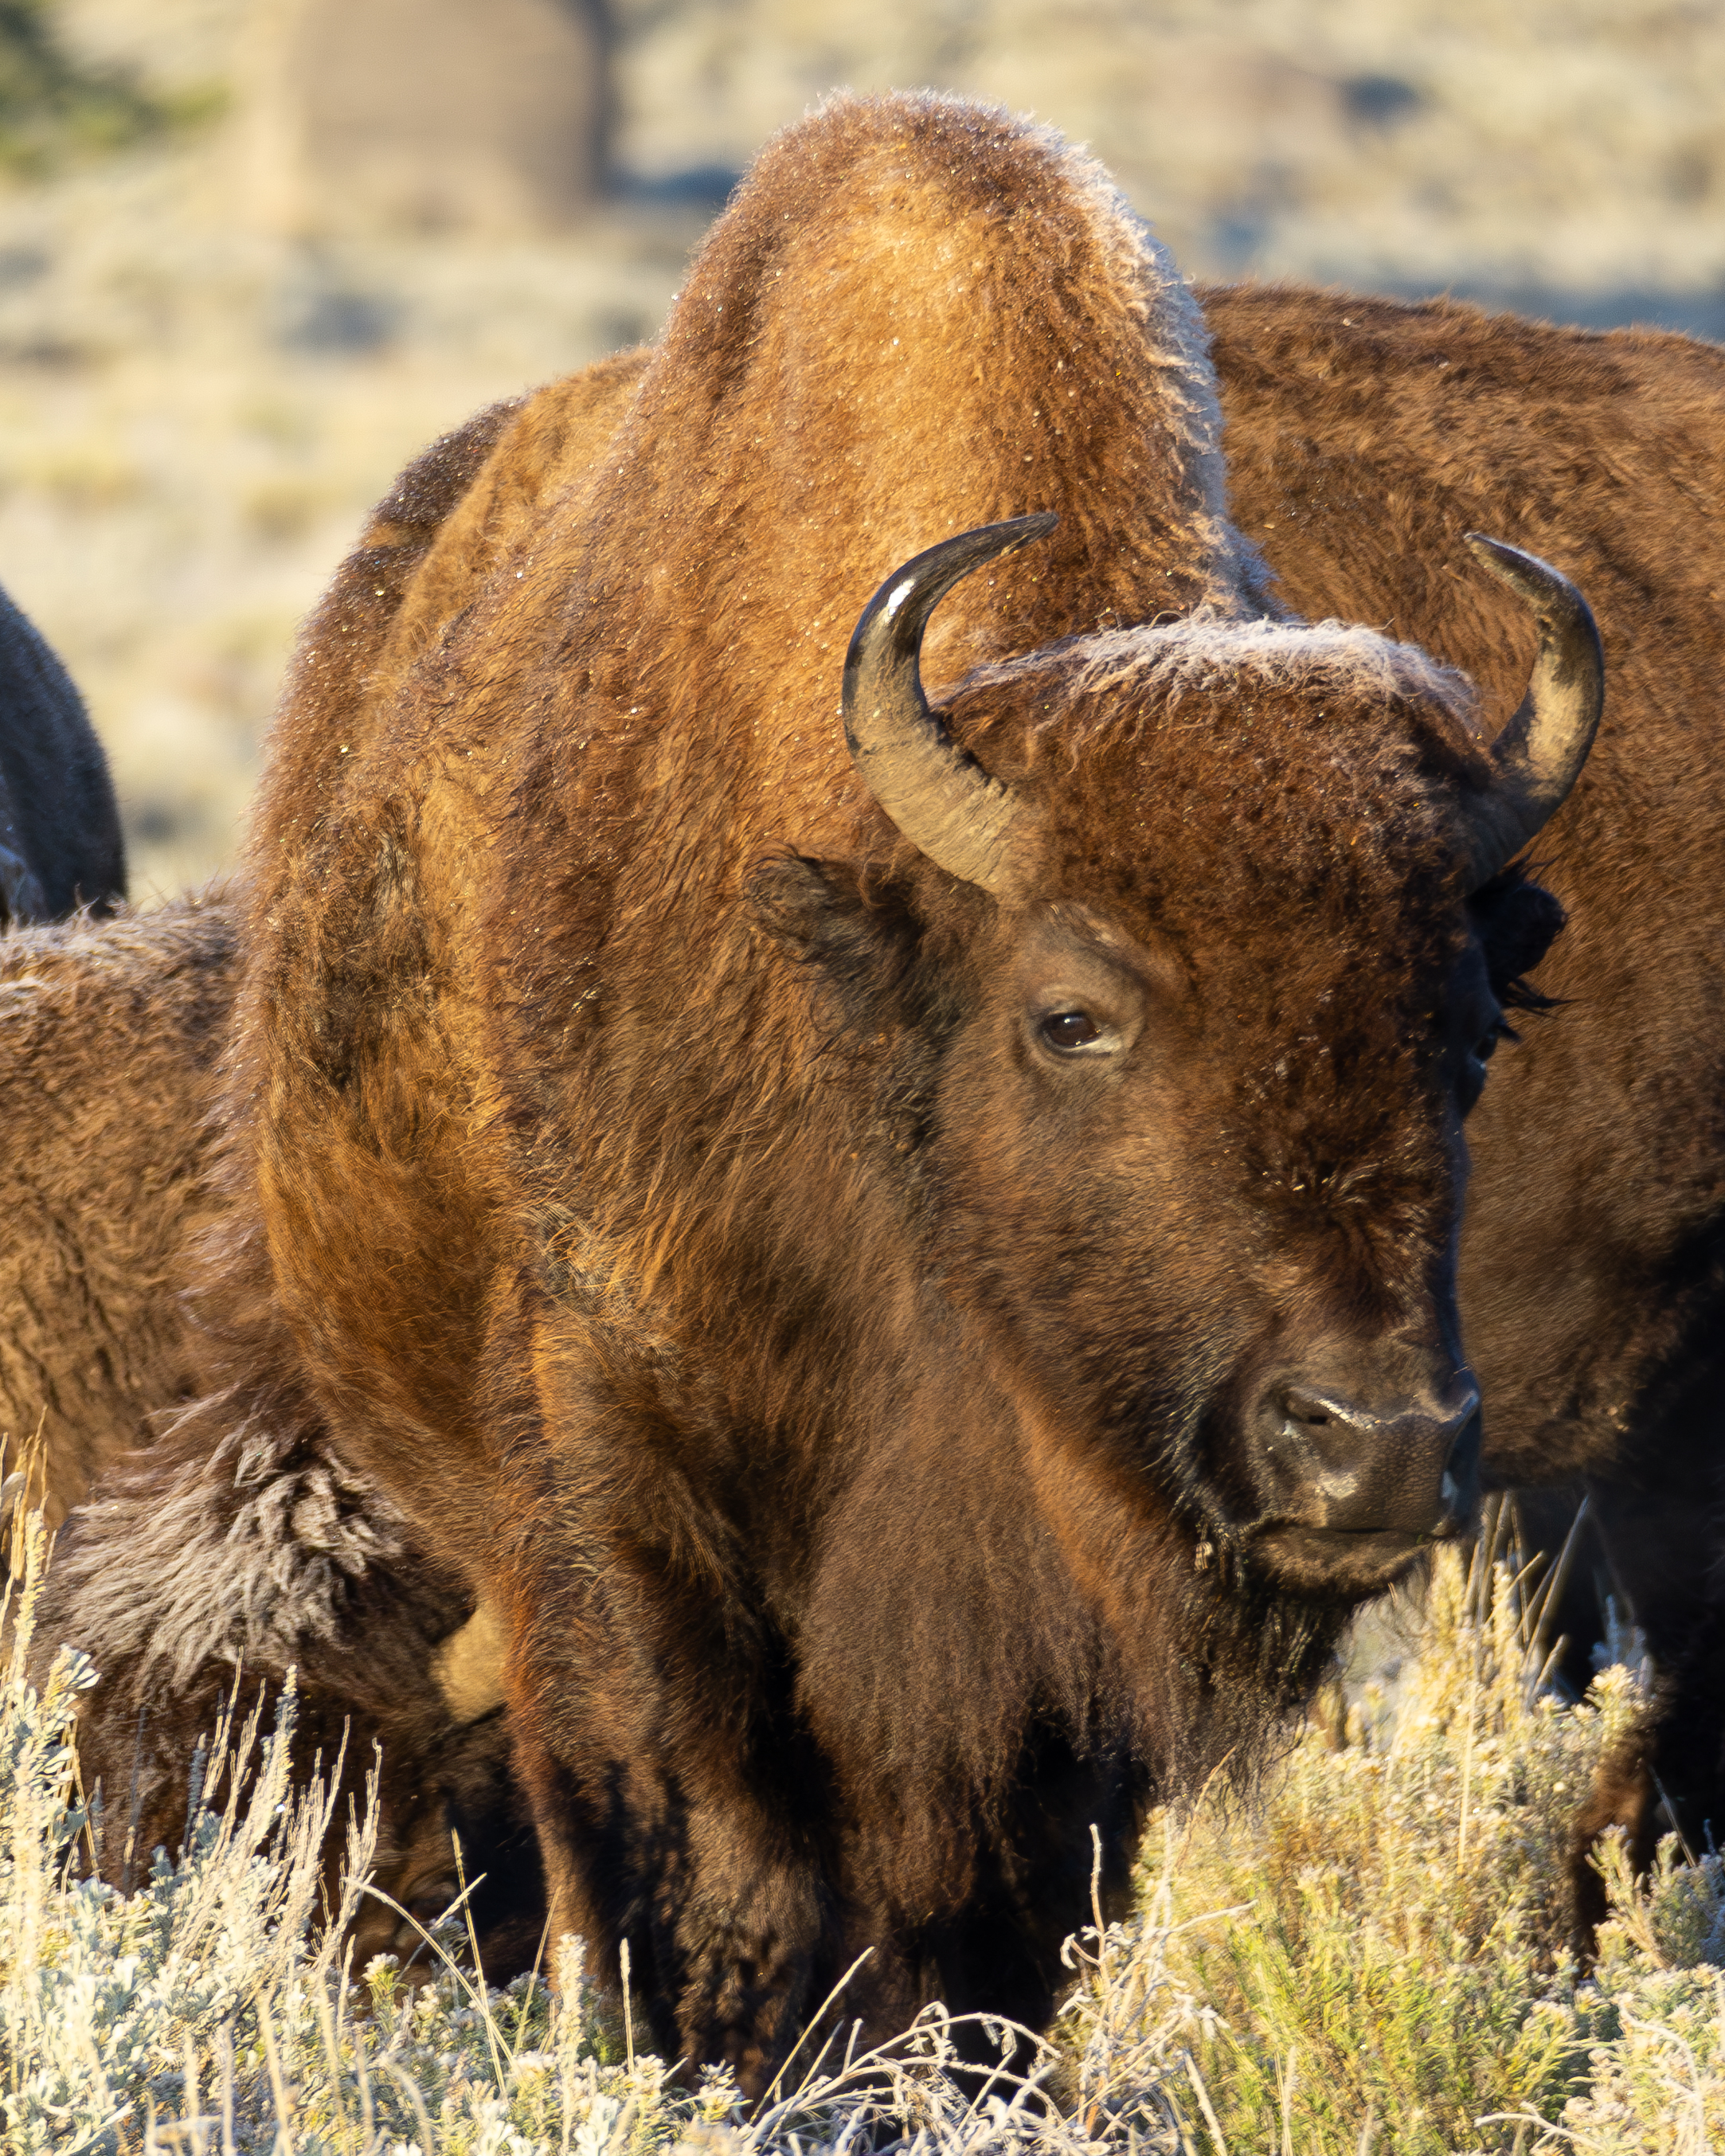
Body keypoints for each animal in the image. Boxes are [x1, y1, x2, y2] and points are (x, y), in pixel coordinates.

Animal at [74, 92, 1586, 2078]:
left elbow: (1004, 1903)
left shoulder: (1049, 1646)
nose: (1378, 1442)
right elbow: (711, 1842)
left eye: (1473, 1024)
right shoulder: (626, 1452)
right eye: (1072, 1015)